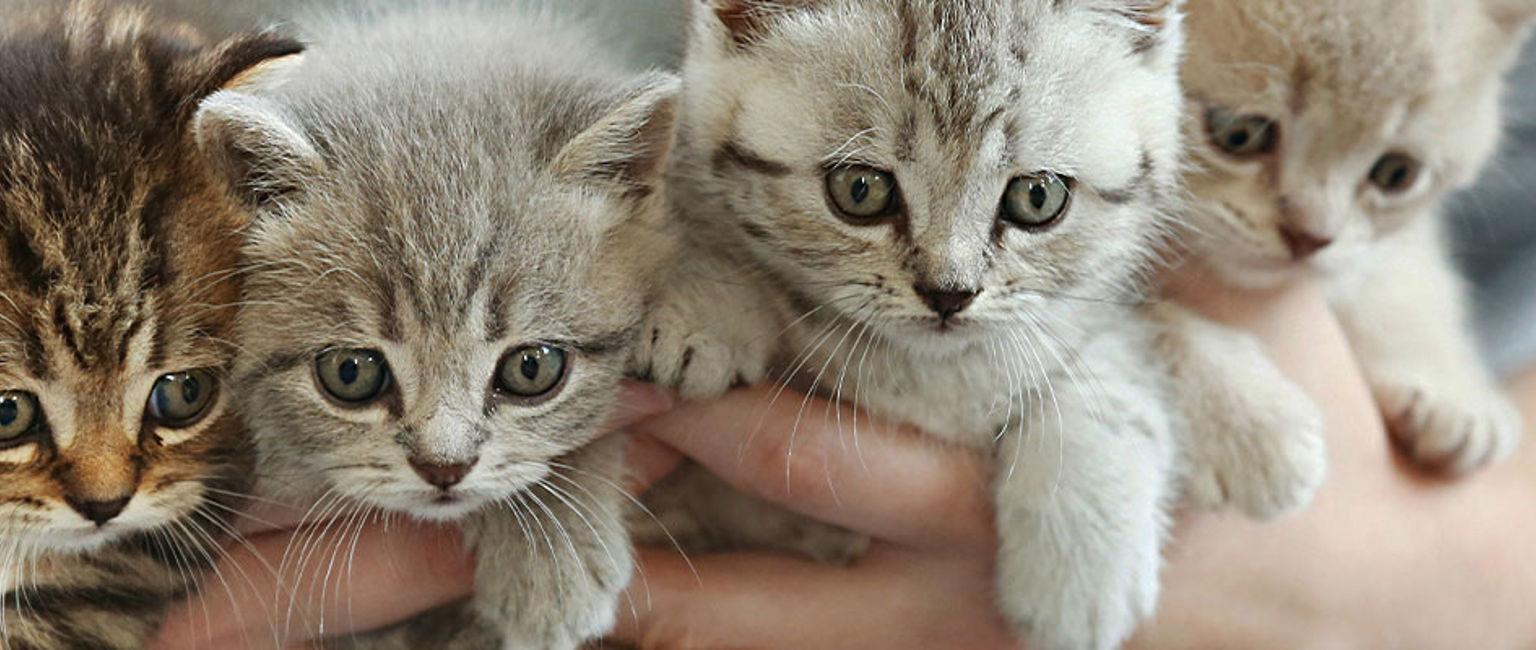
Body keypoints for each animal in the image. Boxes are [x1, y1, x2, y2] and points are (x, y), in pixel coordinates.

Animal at [1179, 0, 1529, 479]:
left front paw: (1448, 385)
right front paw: (1242, 418)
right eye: (1239, 133)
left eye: (1396, 174)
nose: (1310, 237)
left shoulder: (1380, 248)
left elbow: (1395, 277)